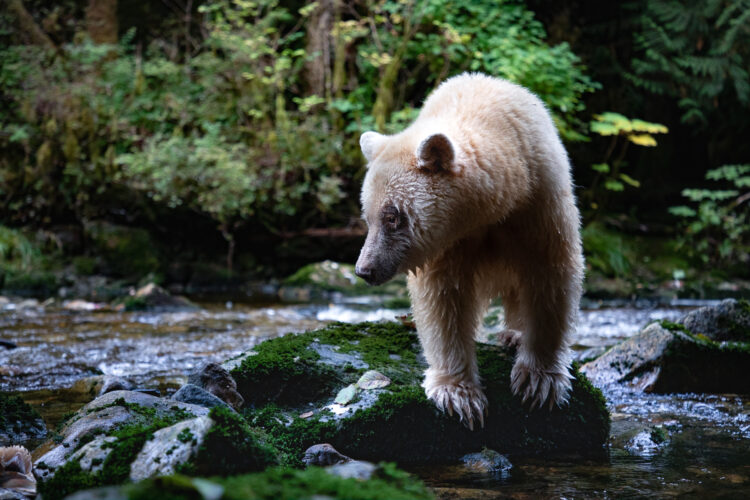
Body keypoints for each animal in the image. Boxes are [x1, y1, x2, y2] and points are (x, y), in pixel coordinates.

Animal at [354, 72, 584, 430]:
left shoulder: (539, 199)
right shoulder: (449, 243)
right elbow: (444, 299)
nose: (364, 269)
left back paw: (514, 335)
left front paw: (538, 380)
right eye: (368, 216)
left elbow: (551, 272)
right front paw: (459, 395)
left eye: (392, 217)